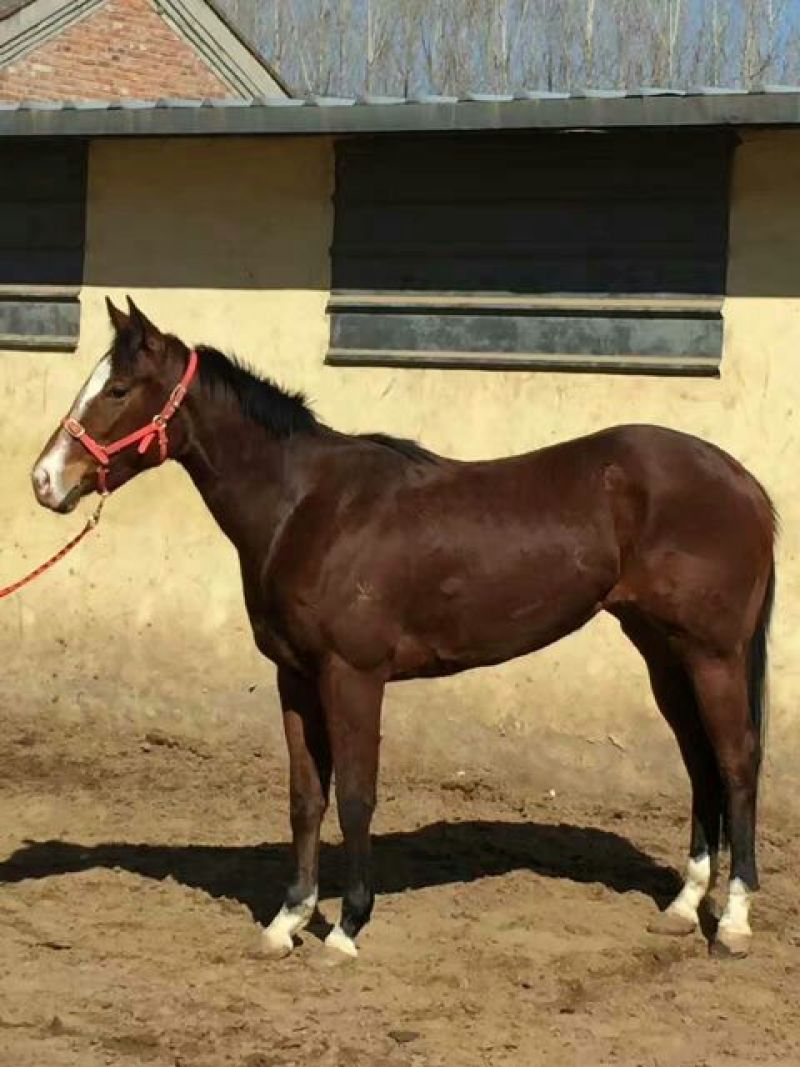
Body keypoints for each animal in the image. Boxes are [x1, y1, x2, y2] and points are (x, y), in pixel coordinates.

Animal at [32, 297, 776, 961]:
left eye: (118, 389)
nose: (45, 481)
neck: (307, 506)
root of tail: (742, 480)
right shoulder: (294, 676)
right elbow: (306, 797)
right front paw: (287, 919)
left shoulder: (353, 675)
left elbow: (356, 795)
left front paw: (345, 929)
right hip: (663, 652)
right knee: (700, 761)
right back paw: (682, 908)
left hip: (713, 652)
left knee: (736, 761)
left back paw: (734, 922)